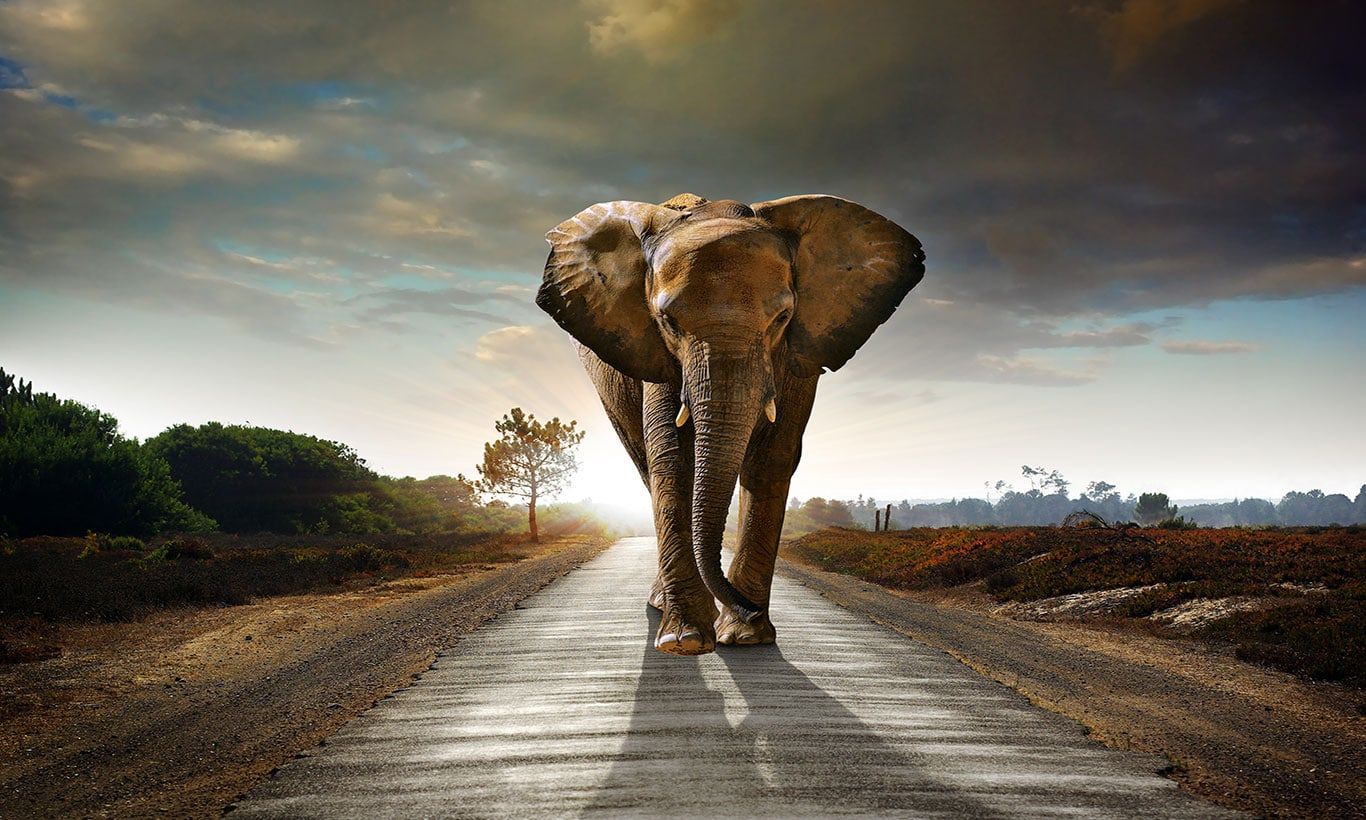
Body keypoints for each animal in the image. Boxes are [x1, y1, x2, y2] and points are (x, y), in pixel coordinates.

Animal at [536, 192, 924, 655]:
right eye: (667, 322)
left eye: (782, 318)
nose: (748, 607)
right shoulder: (656, 354)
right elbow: (672, 457)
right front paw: (686, 641)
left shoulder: (800, 353)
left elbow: (773, 457)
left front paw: (745, 636)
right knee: (645, 464)